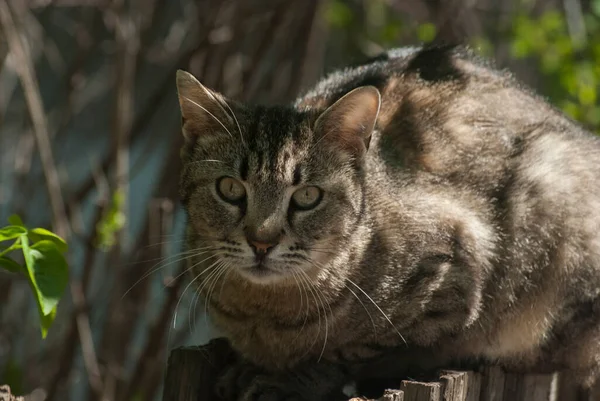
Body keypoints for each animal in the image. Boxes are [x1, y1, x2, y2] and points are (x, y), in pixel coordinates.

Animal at [173, 44, 600, 400]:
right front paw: (244, 366)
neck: (264, 315)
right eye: (230, 188)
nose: (262, 242)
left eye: (307, 196)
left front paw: (292, 379)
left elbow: (350, 352)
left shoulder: (461, 260)